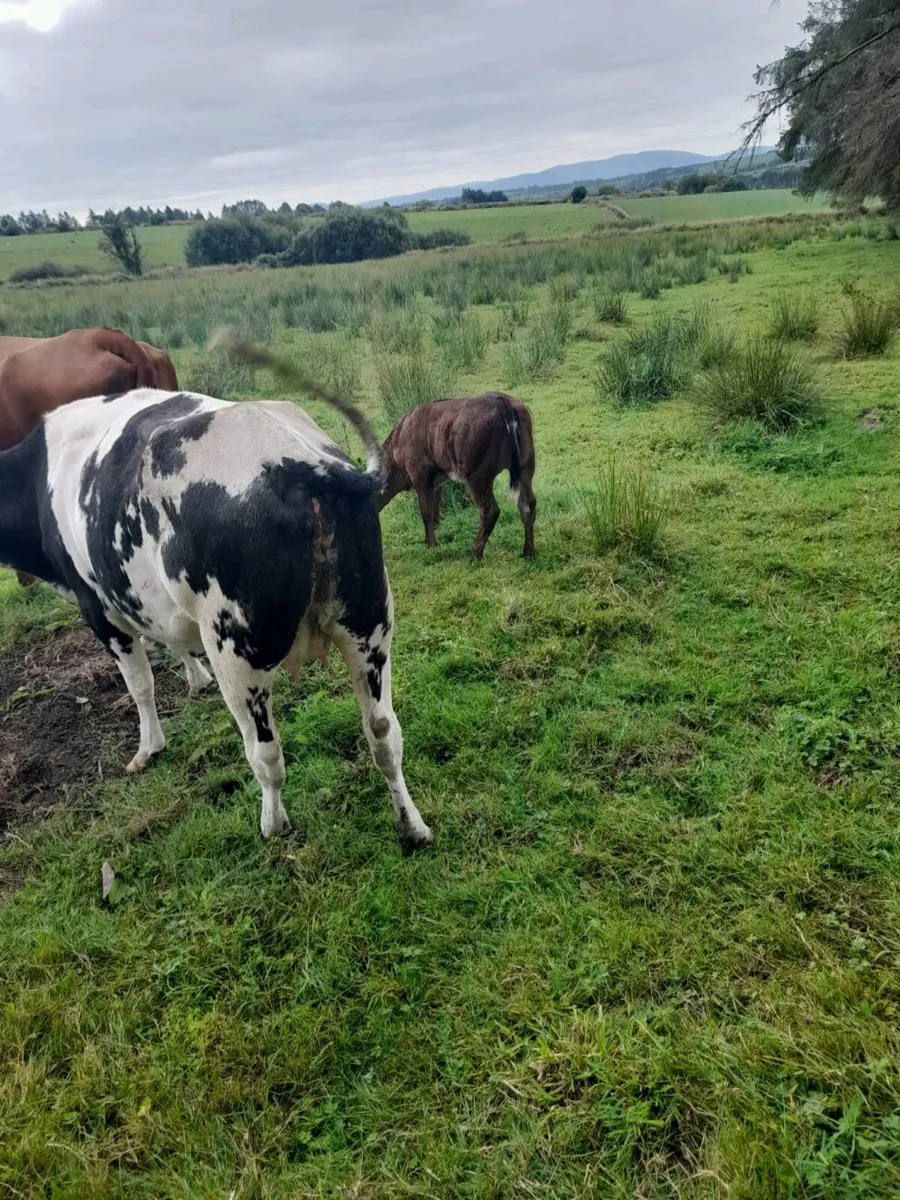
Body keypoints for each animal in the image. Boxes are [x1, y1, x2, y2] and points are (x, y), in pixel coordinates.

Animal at [0, 332, 433, 853]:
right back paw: (412, 826)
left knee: (267, 754)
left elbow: (140, 684)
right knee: (384, 733)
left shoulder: (99, 610)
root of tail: (296, 462)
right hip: (370, 629)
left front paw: (149, 746)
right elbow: (172, 639)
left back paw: (273, 824)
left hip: (238, 653)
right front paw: (192, 678)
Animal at [378, 392, 536, 559]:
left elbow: (426, 512)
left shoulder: (420, 477)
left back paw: (475, 552)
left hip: (478, 477)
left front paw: (430, 544)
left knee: (490, 511)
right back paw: (528, 551)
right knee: (527, 504)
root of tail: (501, 400)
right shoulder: (437, 483)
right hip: (525, 467)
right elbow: (435, 510)